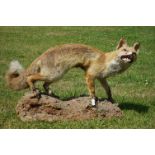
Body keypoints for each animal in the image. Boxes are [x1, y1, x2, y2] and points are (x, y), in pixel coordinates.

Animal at [5, 38, 140, 106]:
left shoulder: (102, 78)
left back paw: (51, 94)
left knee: (45, 85)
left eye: (134, 53)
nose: (131, 55)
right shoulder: (90, 74)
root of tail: (42, 54)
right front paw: (93, 100)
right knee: (30, 78)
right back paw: (34, 89)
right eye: (124, 50)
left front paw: (111, 100)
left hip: (55, 76)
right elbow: (92, 91)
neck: (107, 61)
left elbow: (108, 90)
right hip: (54, 74)